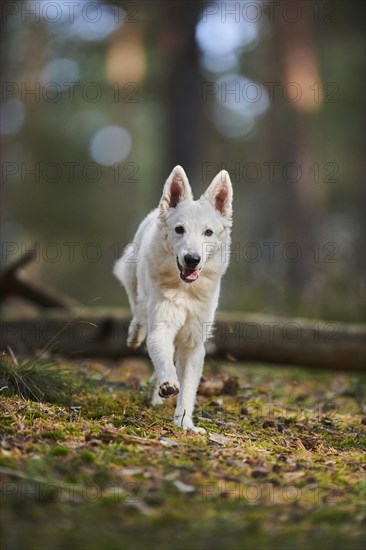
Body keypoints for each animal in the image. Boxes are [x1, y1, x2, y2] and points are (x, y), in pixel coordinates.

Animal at [114, 166, 233, 434]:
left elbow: (187, 389)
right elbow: (163, 359)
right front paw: (168, 382)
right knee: (138, 311)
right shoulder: (162, 326)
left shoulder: (193, 343)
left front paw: (185, 423)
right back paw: (135, 335)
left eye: (208, 232)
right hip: (133, 280)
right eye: (180, 230)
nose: (192, 259)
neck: (185, 291)